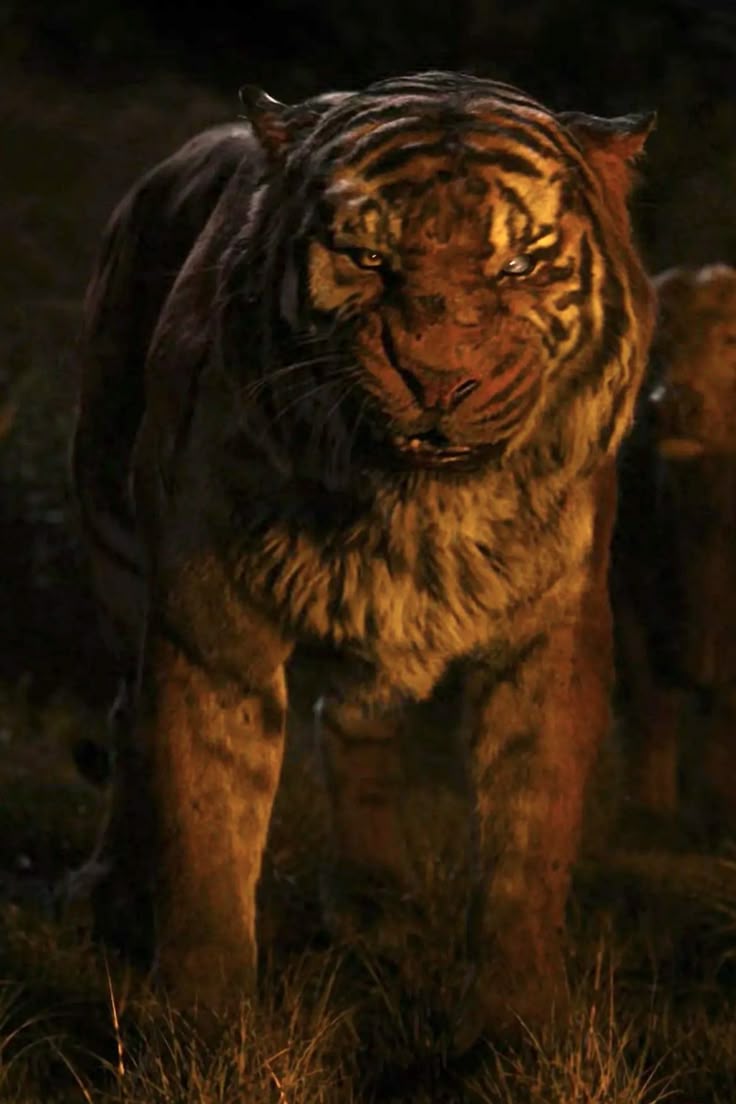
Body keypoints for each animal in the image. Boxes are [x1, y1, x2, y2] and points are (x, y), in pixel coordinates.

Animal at [69, 70, 655, 1044]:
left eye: (519, 266)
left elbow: (527, 845)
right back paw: (112, 888)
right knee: (122, 717)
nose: (439, 380)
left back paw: (375, 902)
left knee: (356, 721)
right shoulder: (208, 626)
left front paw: (509, 1031)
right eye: (368, 259)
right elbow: (205, 834)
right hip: (113, 548)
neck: (412, 511)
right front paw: (200, 1023)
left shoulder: (552, 634)